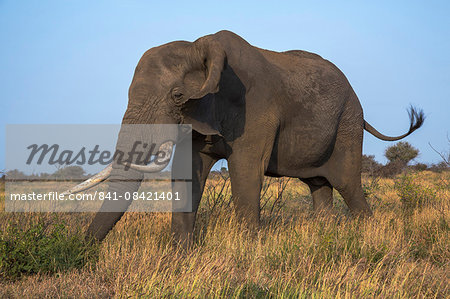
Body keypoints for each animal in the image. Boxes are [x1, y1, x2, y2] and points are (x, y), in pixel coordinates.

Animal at [71, 30, 426, 246]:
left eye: (177, 95)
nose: (82, 252)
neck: (202, 46)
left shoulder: (255, 108)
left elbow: (245, 171)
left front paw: (246, 254)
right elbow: (187, 173)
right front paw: (181, 255)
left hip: (347, 125)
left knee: (348, 185)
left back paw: (369, 235)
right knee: (320, 187)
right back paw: (324, 236)